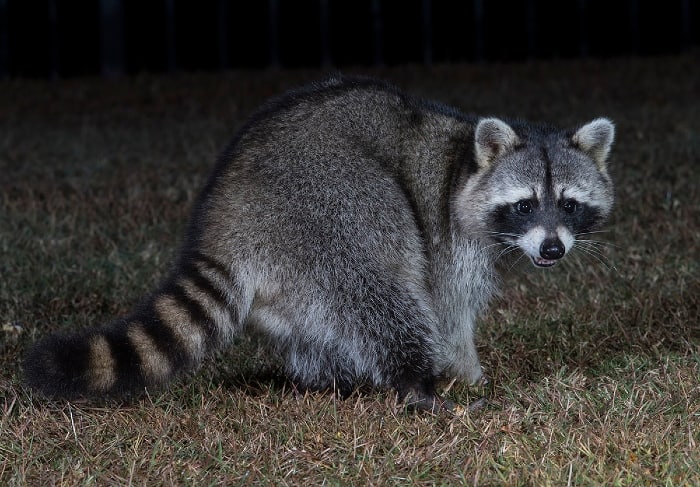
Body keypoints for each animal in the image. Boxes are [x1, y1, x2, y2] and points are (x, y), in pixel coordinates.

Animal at [23, 76, 612, 412]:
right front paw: (466, 374)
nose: (553, 250)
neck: (466, 163)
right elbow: (447, 309)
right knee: (382, 288)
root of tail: (227, 218)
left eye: (570, 205)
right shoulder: (448, 231)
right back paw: (415, 385)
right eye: (526, 204)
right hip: (327, 210)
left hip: (295, 271)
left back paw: (330, 382)